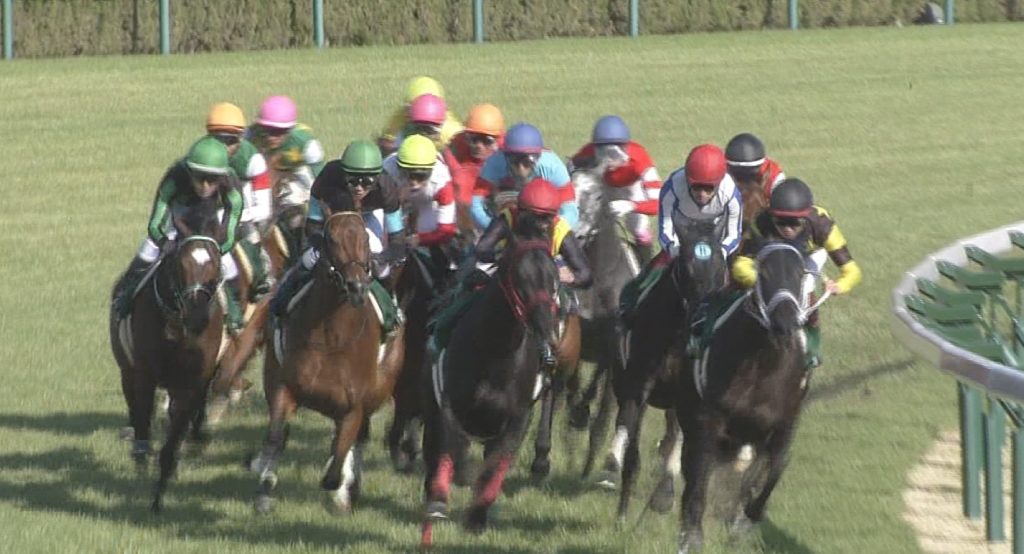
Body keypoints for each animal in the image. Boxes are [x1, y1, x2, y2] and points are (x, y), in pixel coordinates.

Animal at [246, 211, 403, 514]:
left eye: (365, 239)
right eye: (332, 239)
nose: (356, 287)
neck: (331, 336)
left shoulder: (353, 408)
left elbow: (336, 462)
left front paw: (342, 488)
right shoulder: (284, 387)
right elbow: (275, 436)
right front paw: (263, 488)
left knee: (355, 441)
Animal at [417, 229, 561, 544]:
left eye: (553, 277)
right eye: (520, 276)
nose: (546, 327)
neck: (495, 353)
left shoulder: (518, 418)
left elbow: (496, 465)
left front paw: (477, 518)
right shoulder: (449, 405)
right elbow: (450, 450)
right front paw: (439, 502)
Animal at [606, 219, 729, 518]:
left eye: (720, 267)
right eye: (686, 267)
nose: (704, 314)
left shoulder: (691, 400)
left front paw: (664, 494)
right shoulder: (638, 388)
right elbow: (631, 445)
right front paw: (622, 513)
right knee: (623, 421)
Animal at [675, 239, 819, 548]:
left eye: (799, 272)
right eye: (762, 273)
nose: (785, 321)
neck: (762, 365)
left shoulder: (785, 421)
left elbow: (775, 467)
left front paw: (749, 514)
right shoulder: (710, 418)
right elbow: (699, 472)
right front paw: (692, 535)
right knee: (692, 465)